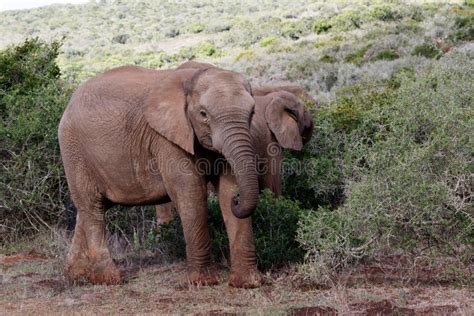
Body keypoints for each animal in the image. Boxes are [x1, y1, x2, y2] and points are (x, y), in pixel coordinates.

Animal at [58, 65, 262, 286]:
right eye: (203, 114)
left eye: (252, 112)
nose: (238, 201)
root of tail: (70, 101)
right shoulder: (166, 138)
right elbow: (190, 191)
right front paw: (203, 282)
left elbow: (227, 188)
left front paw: (247, 283)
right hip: (74, 150)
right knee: (92, 206)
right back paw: (109, 278)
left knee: (90, 208)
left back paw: (77, 274)